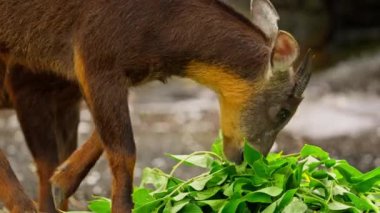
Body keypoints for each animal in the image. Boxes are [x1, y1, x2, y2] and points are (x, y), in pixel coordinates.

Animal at [0, 0, 310, 211]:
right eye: (283, 111)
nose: (245, 161)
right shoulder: (94, 57)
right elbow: (124, 152)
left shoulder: (117, 75)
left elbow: (101, 138)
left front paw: (61, 184)